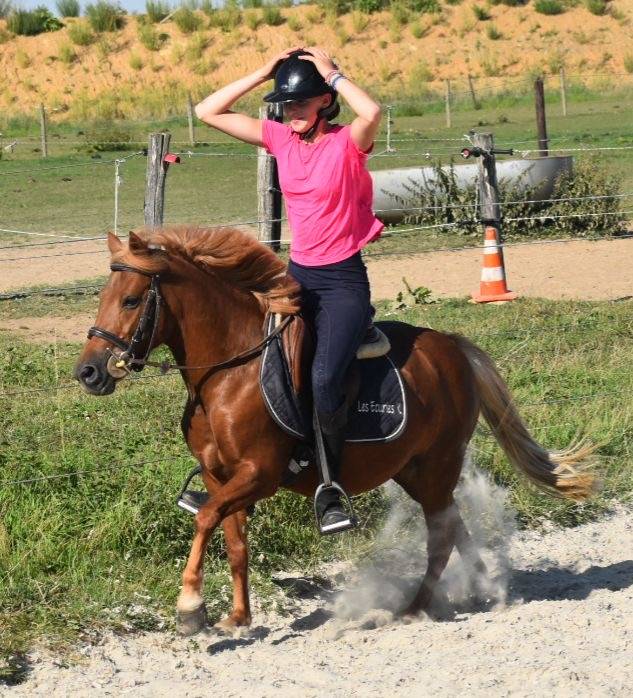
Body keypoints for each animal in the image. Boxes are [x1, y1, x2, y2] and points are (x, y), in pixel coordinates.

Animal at [74, 225, 596, 636]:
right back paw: (480, 587)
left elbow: (204, 519)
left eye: (131, 299)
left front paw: (190, 608)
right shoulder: (218, 476)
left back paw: (415, 608)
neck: (229, 373)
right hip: (413, 469)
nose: (89, 373)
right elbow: (234, 541)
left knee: (441, 534)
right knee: (452, 524)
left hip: (438, 461)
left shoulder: (258, 475)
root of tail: (452, 348)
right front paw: (238, 617)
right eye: (102, 298)